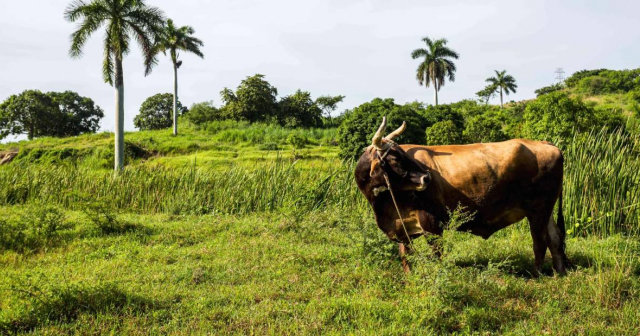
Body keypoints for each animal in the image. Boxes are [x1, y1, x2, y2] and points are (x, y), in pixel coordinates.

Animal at [356, 117, 568, 276]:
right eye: (394, 158)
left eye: (403, 155)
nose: (427, 177)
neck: (384, 206)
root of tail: (547, 144)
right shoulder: (402, 228)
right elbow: (405, 256)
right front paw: (409, 279)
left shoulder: (431, 224)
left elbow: (437, 254)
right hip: (546, 210)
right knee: (555, 238)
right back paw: (559, 272)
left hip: (537, 209)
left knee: (540, 241)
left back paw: (537, 274)